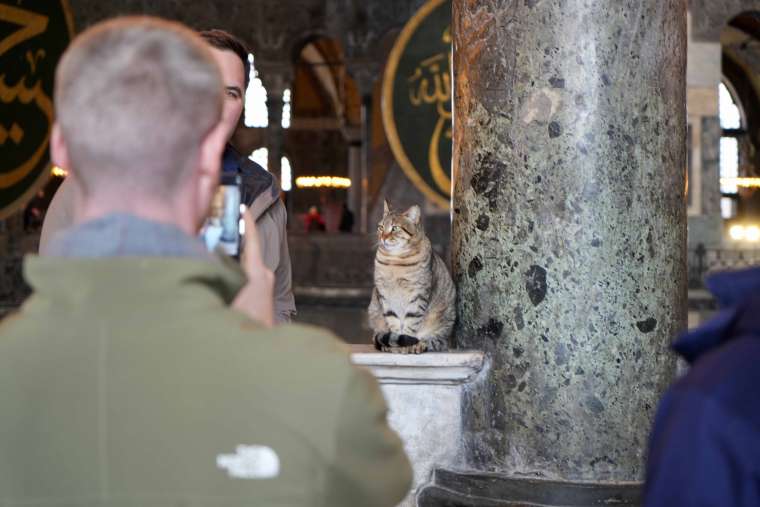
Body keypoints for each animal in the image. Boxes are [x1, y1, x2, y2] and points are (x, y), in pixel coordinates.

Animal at [370, 201, 454, 354]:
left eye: (395, 228)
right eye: (381, 227)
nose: (382, 237)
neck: (394, 261)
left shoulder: (418, 294)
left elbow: (411, 321)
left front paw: (406, 343)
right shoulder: (384, 294)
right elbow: (393, 321)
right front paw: (396, 343)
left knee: (436, 342)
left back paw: (420, 344)